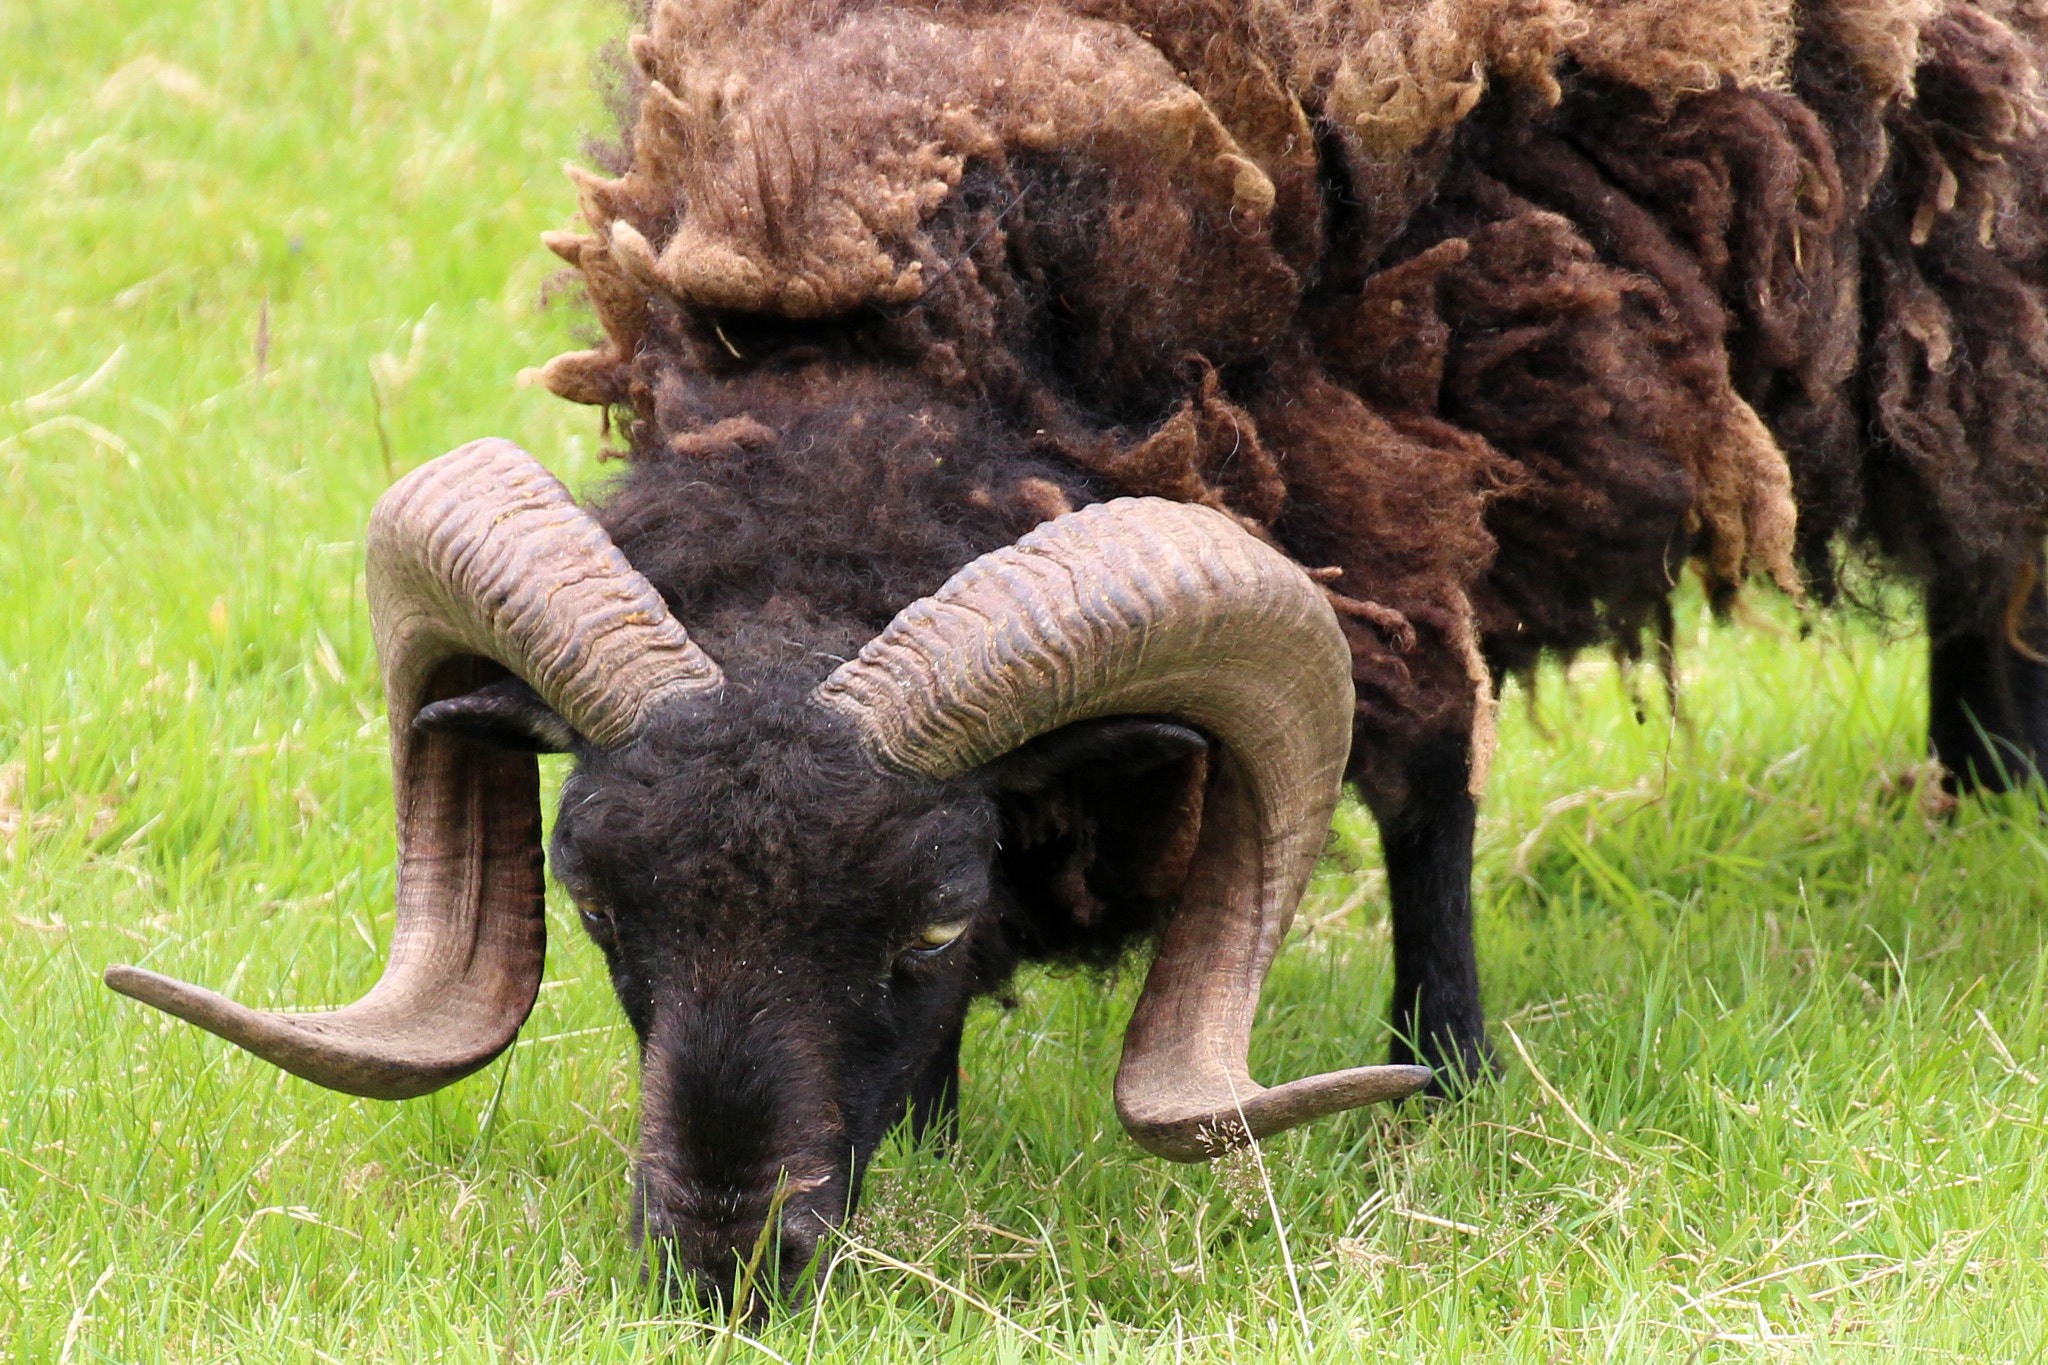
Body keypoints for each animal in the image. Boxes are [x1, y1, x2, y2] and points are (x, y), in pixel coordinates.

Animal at [108, 0, 2048, 1303]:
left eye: (929, 920)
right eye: (594, 910)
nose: (725, 1265)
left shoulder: (1403, 461)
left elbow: (1425, 786)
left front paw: (1449, 1076)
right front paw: (941, 1130)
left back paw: (1993, 789)